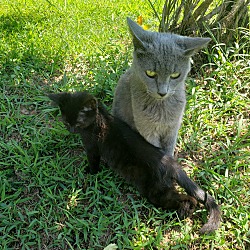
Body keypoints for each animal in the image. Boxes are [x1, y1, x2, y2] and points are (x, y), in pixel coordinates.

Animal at [48, 91, 221, 233]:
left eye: (77, 123)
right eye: (65, 121)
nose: (71, 130)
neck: (99, 118)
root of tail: (173, 165)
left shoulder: (92, 148)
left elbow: (93, 162)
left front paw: (89, 173)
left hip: (155, 192)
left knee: (188, 199)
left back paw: (182, 214)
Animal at [112, 17, 210, 155]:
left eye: (175, 75)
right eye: (150, 73)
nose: (162, 92)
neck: (162, 108)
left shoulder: (173, 128)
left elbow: (169, 148)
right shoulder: (147, 130)